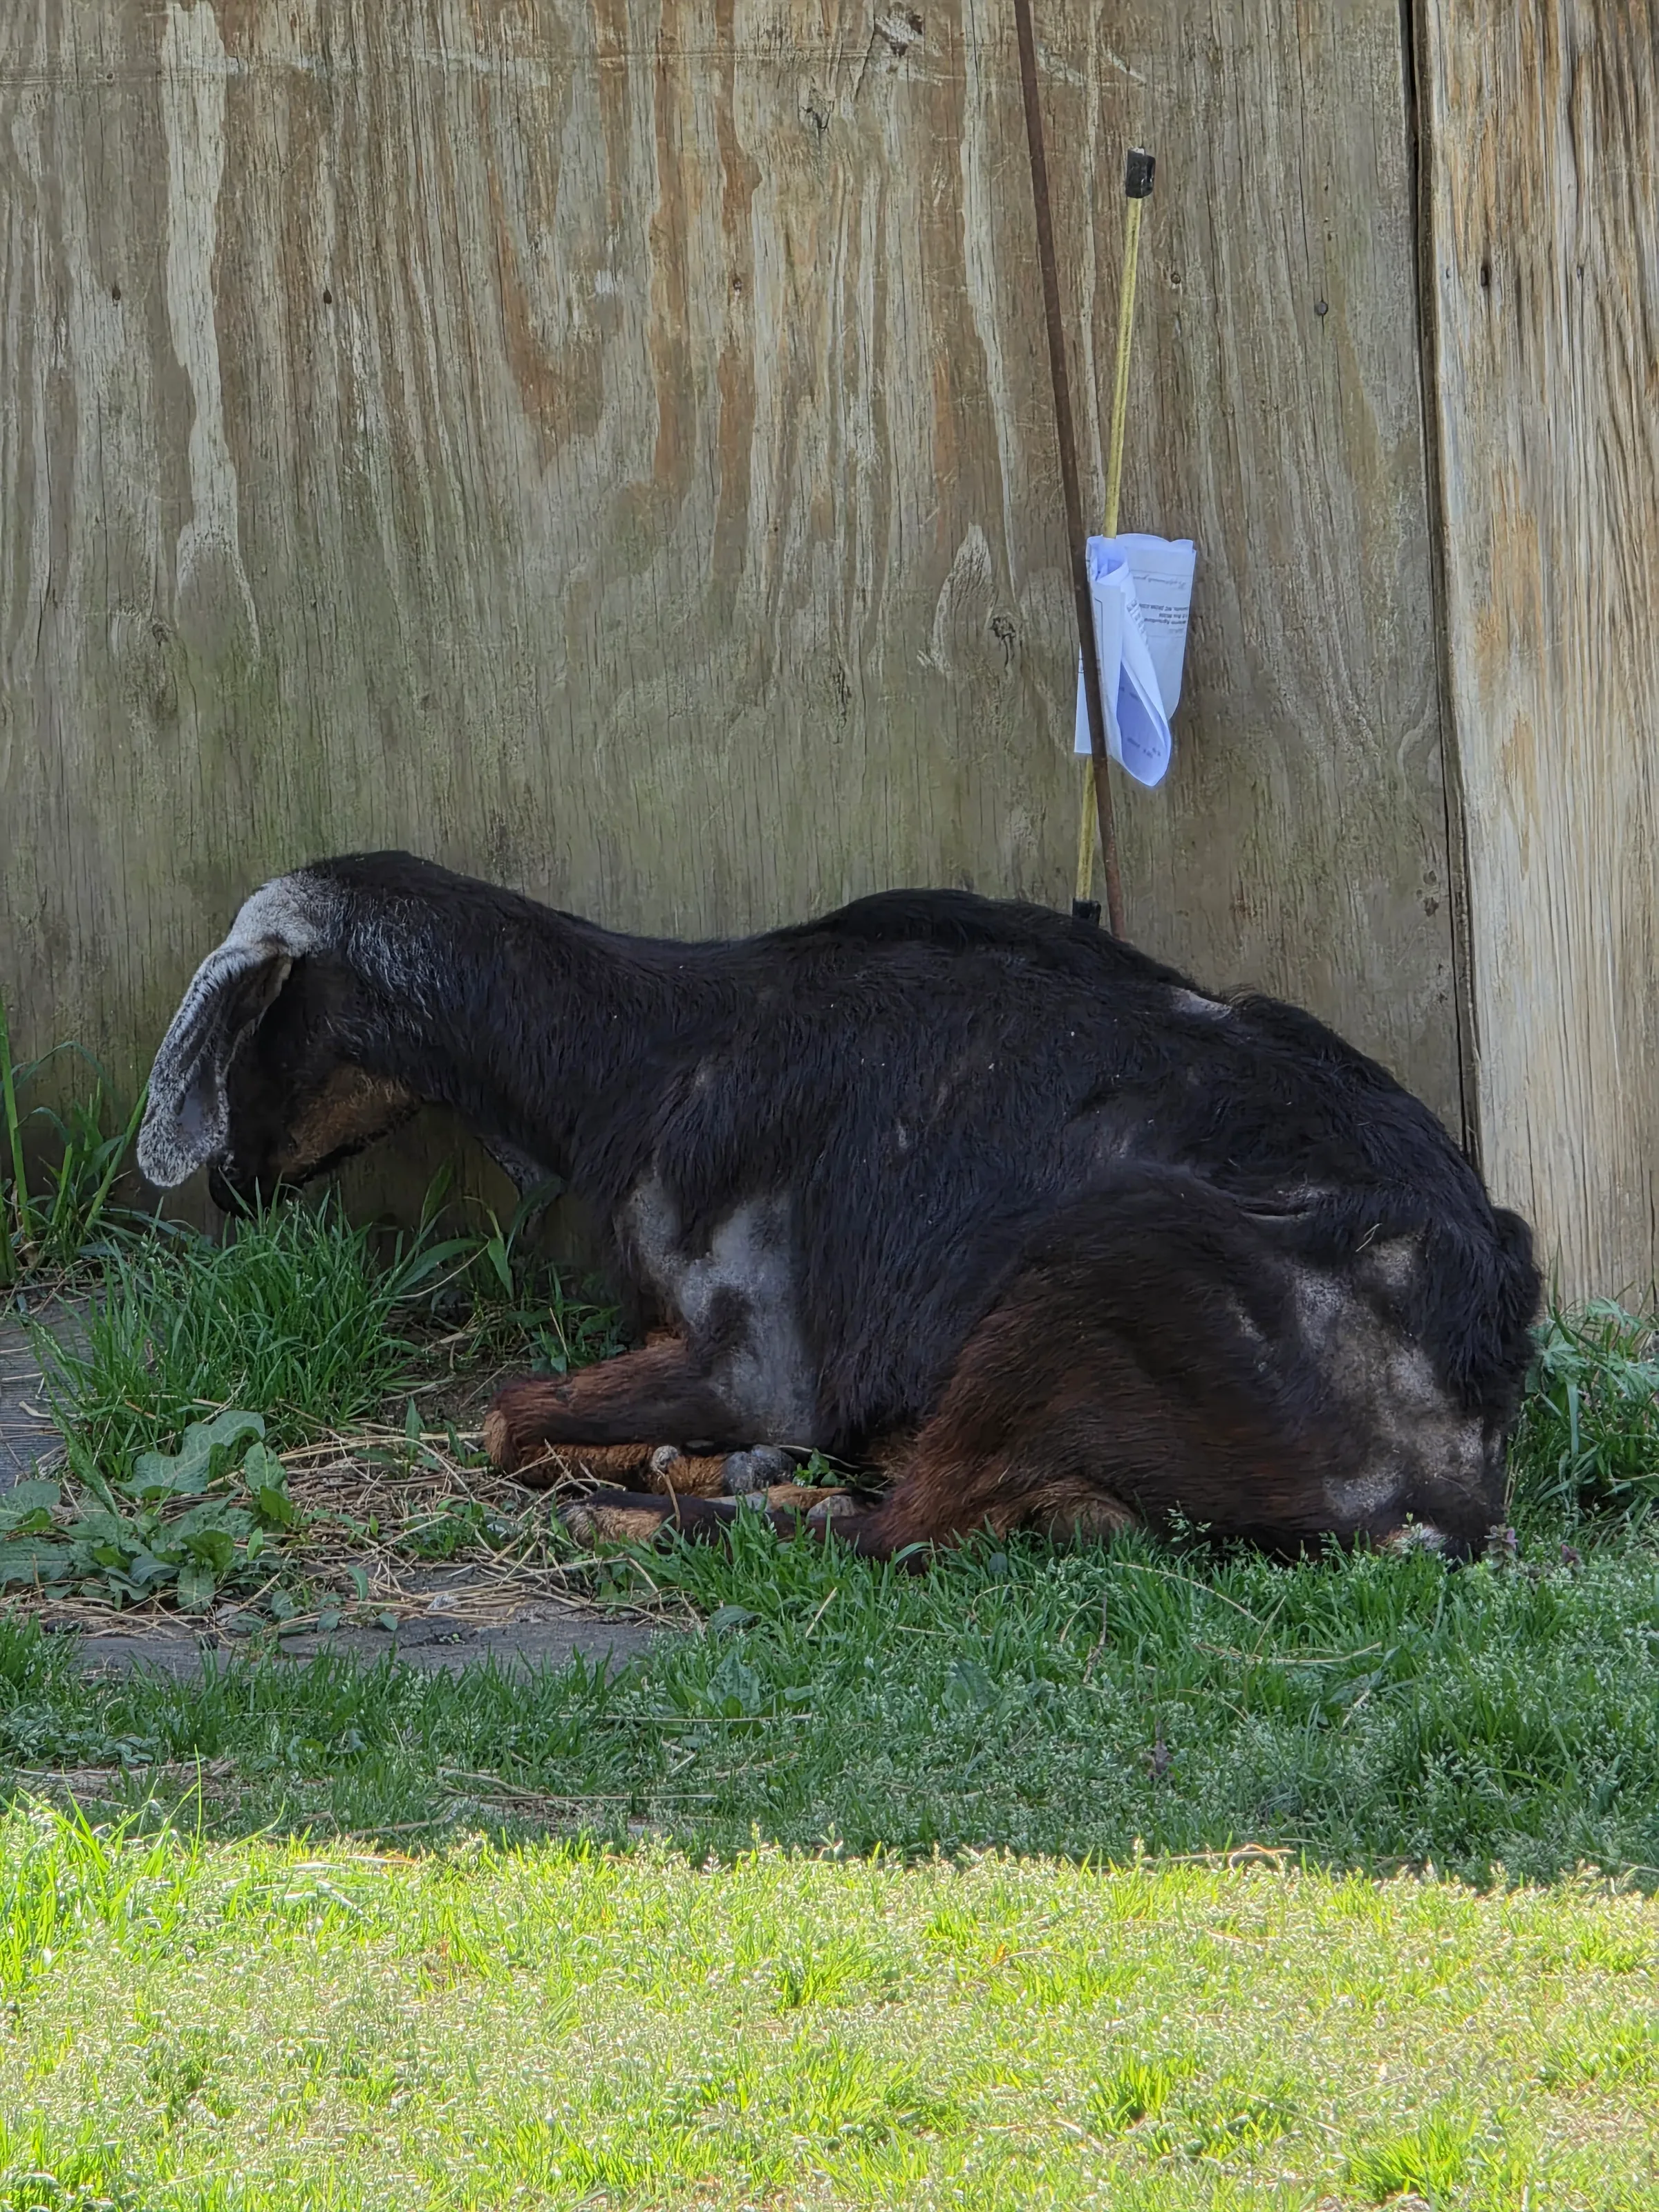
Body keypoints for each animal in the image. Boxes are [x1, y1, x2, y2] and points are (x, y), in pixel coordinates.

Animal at [136, 852, 1540, 1561]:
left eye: (258, 1021)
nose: (228, 1186)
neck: (639, 1053)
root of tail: (1455, 1475)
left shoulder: (764, 1357)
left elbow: (506, 1419)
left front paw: (691, 1467)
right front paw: (699, 1455)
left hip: (1105, 1260)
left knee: (897, 1531)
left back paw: (682, 1513)